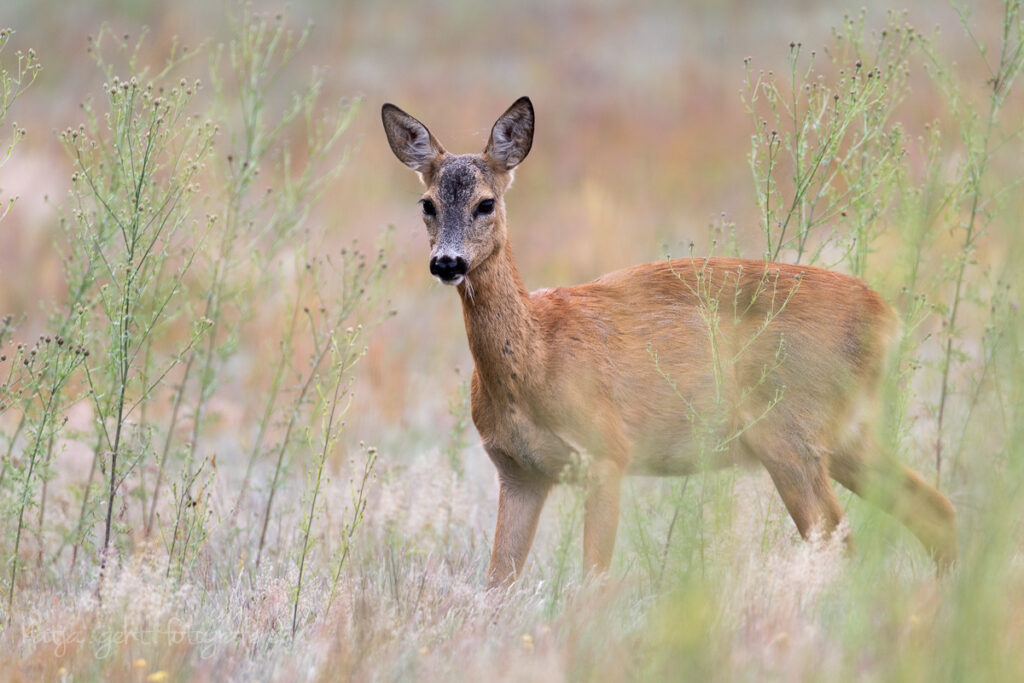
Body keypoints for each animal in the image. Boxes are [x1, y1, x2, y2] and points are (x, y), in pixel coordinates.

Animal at [381, 96, 957, 588]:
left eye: (486, 203)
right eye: (427, 203)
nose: (447, 263)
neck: (536, 357)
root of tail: (886, 317)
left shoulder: (606, 452)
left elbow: (594, 583)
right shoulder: (518, 472)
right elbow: (497, 584)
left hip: (789, 433)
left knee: (844, 540)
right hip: (843, 434)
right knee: (933, 509)